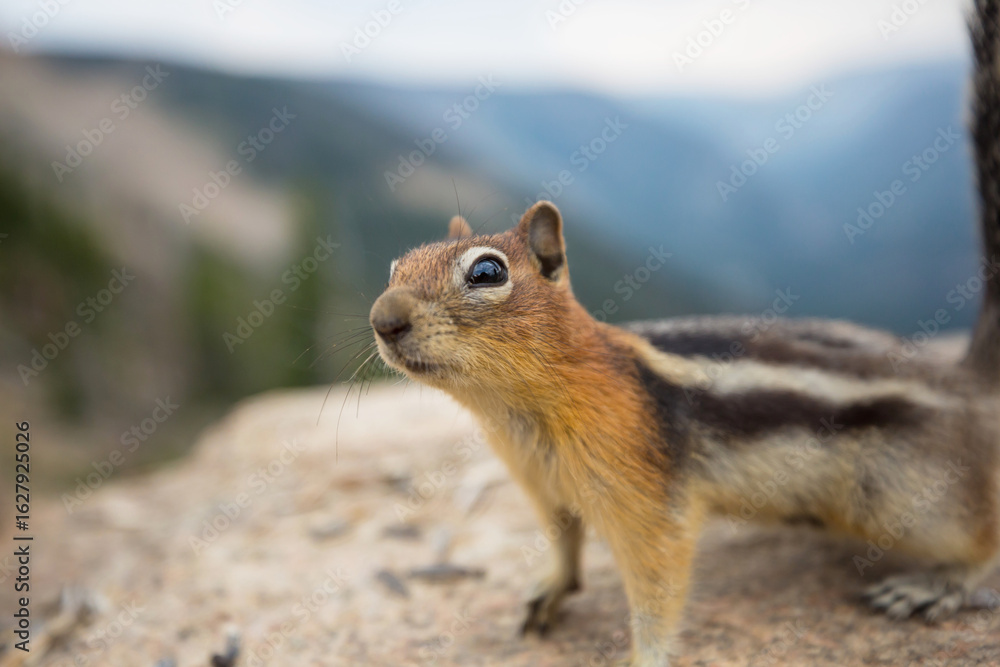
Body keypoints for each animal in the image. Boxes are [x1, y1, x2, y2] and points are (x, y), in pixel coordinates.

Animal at [369, 2, 1000, 664]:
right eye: (394, 267)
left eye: (487, 272)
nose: (384, 319)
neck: (524, 411)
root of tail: (965, 383)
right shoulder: (543, 487)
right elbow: (564, 541)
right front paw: (551, 587)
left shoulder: (647, 500)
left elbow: (658, 583)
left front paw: (645, 655)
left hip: (911, 499)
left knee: (981, 539)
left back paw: (936, 585)